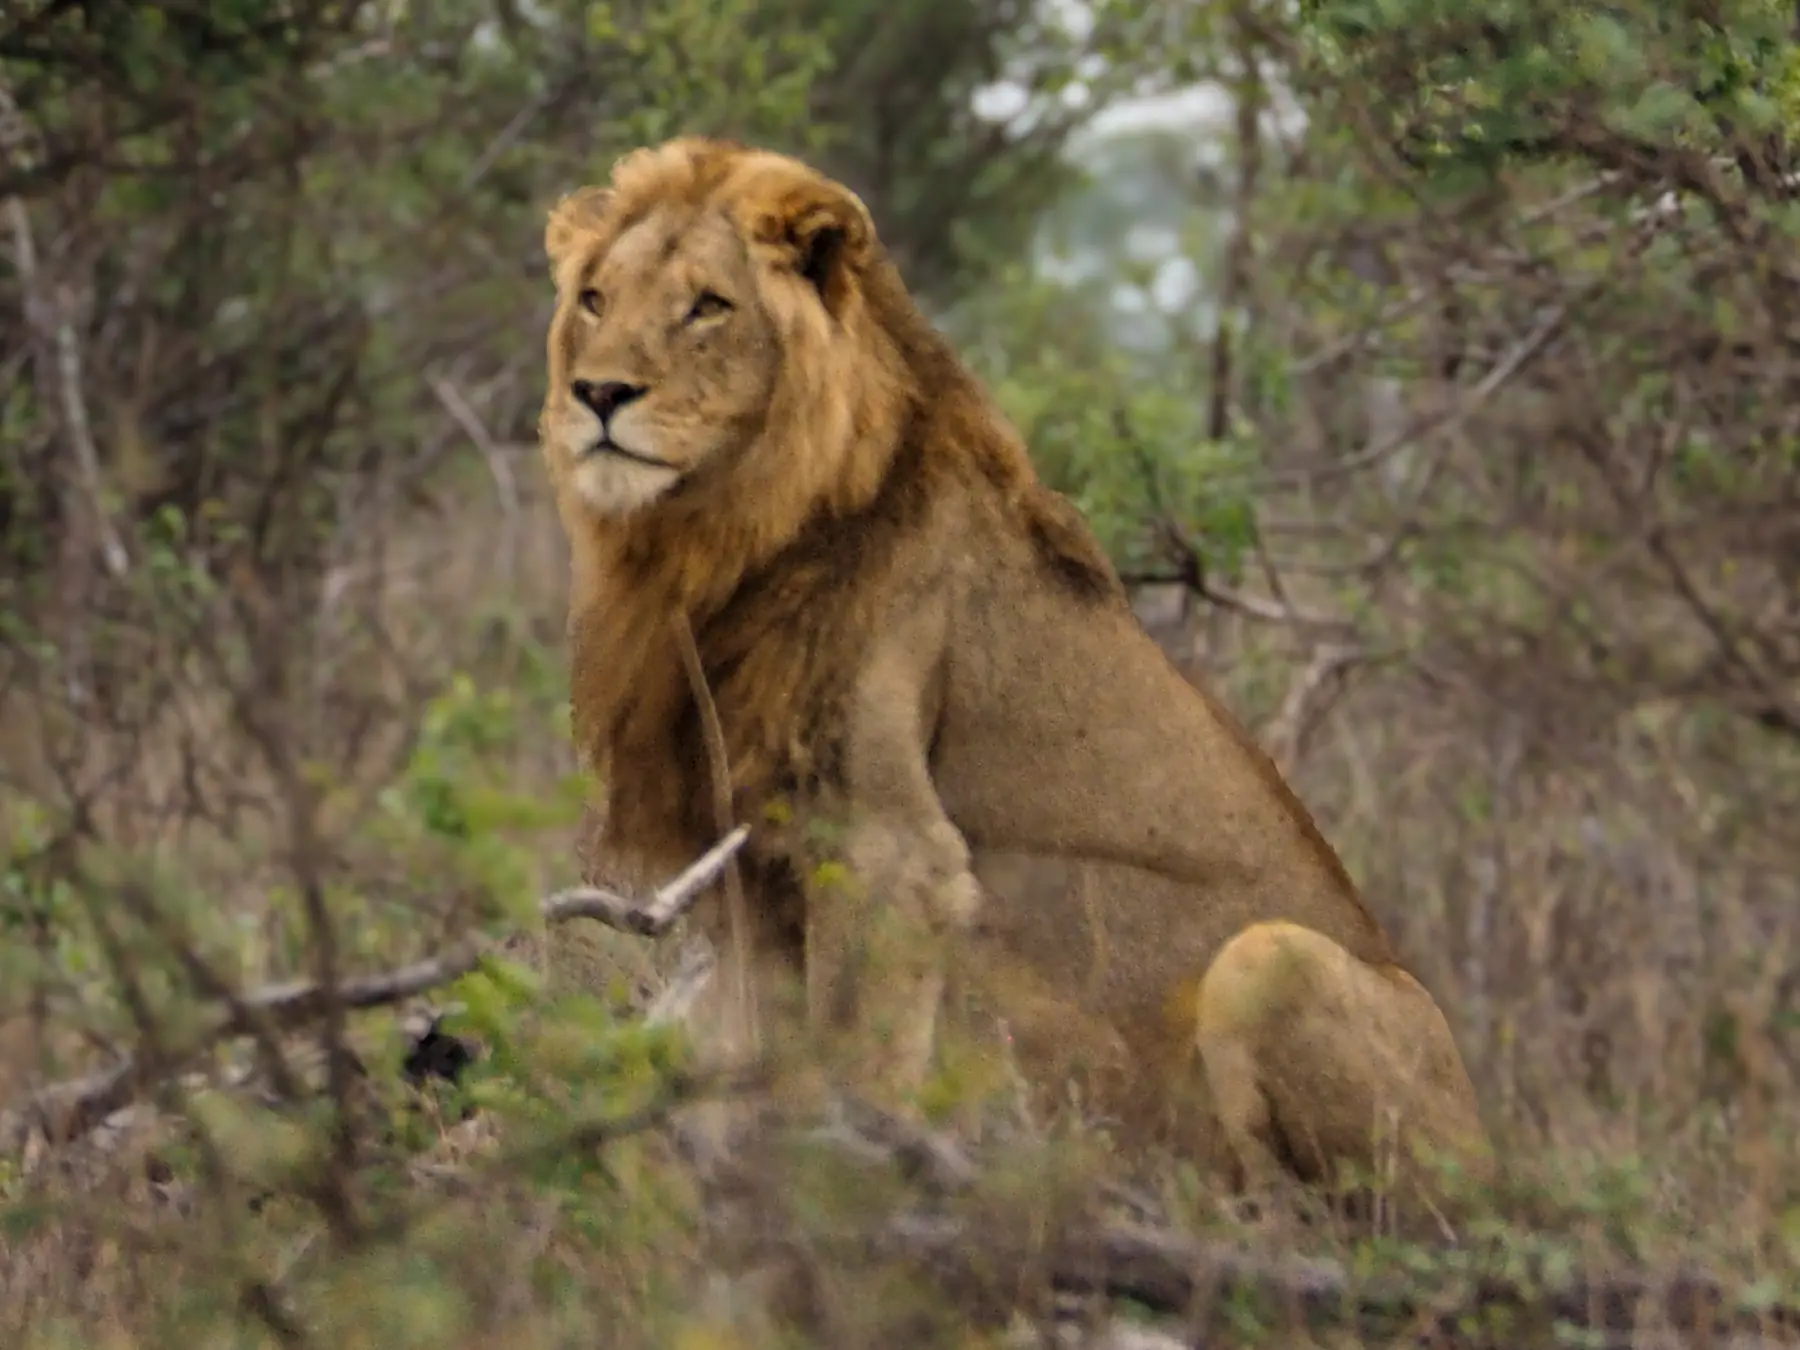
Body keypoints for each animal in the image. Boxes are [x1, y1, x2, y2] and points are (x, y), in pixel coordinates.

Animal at [537, 136, 1492, 1205]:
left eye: (708, 306)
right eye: (594, 301)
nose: (598, 396)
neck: (712, 540)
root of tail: (1500, 1161)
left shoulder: (887, 846)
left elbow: (848, 1064)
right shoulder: (749, 861)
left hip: (1275, 961)